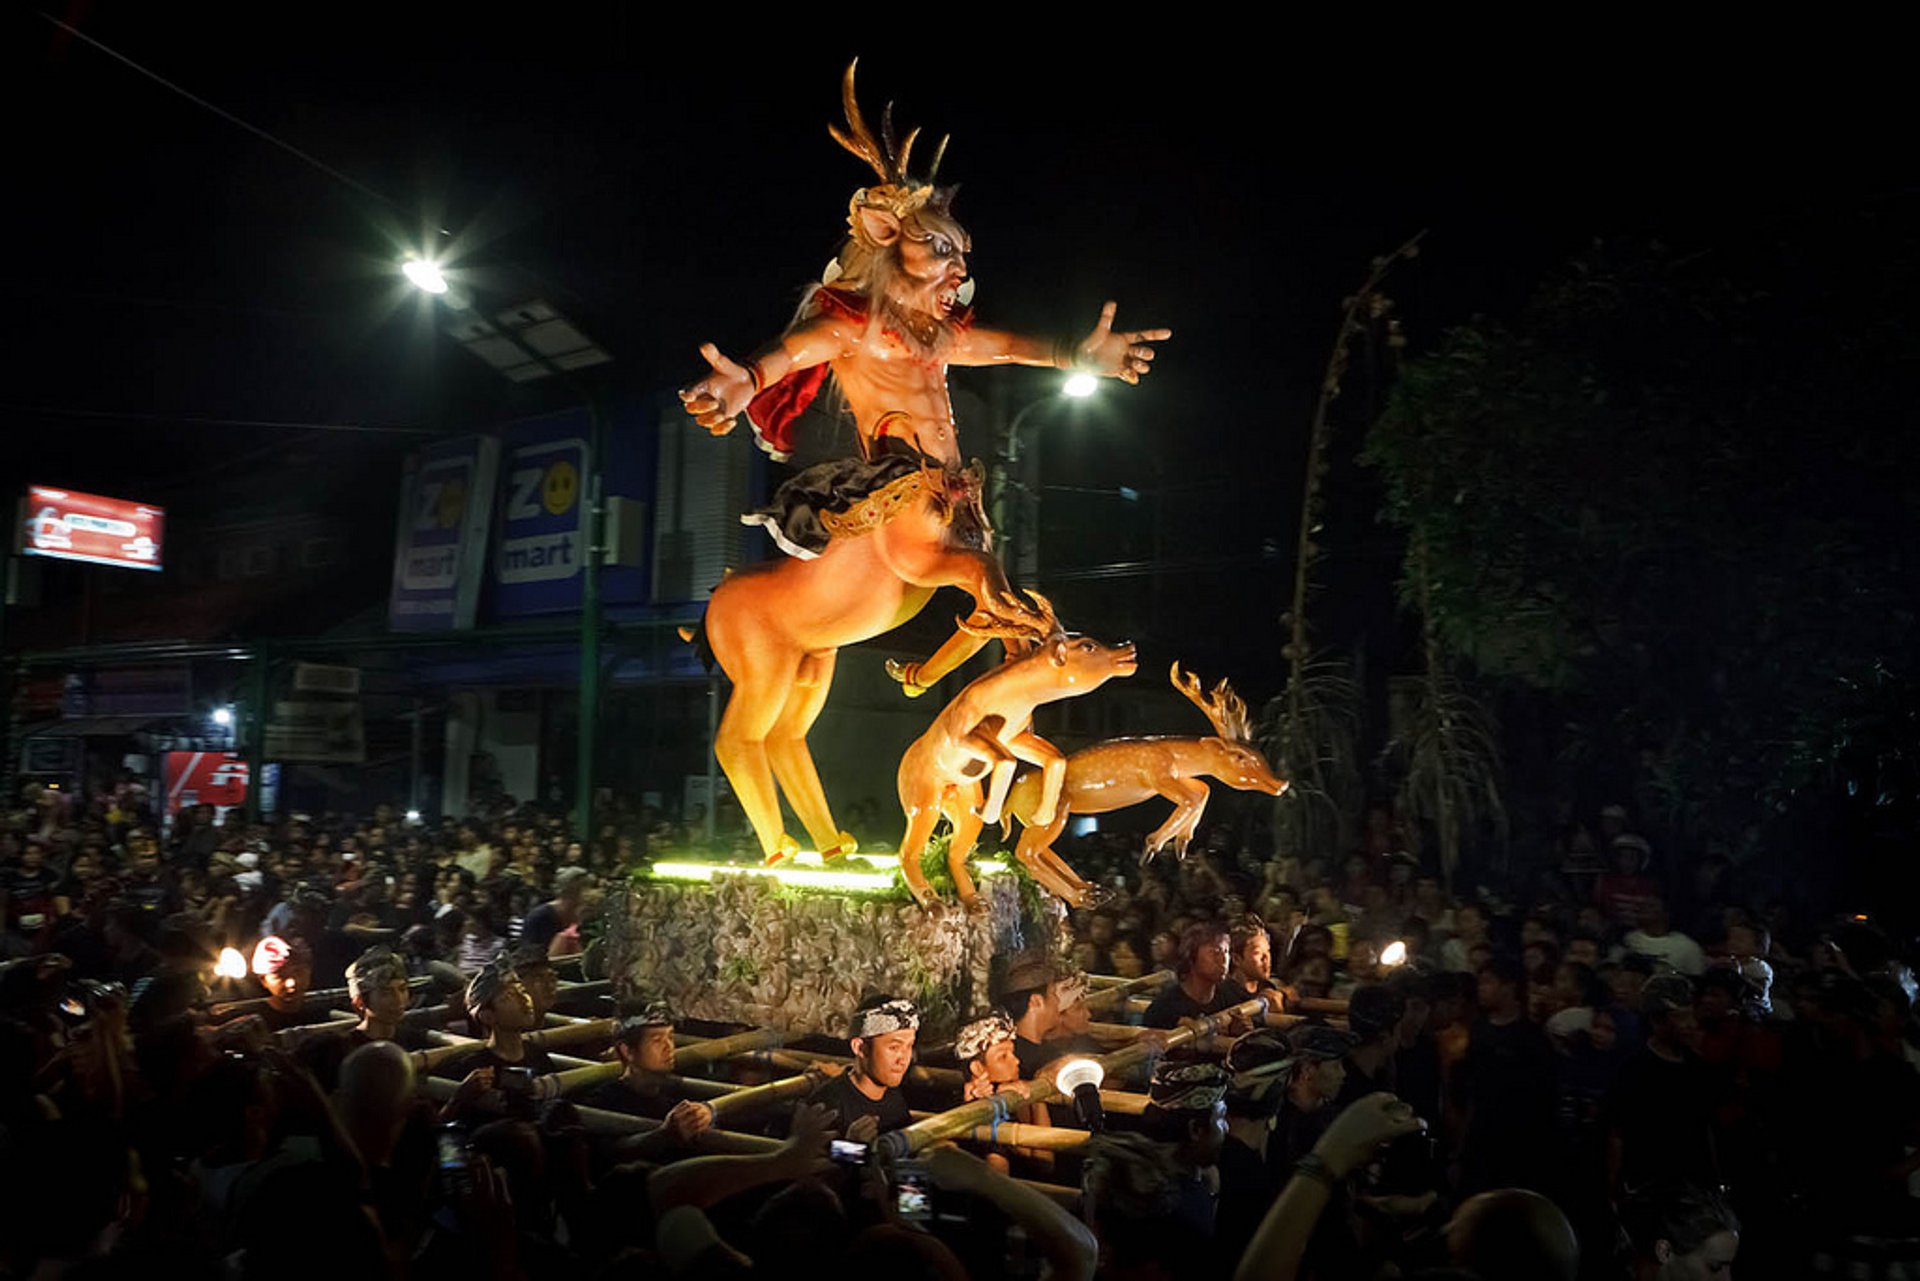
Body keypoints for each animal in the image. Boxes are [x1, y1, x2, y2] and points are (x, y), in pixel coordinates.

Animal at [990, 668, 1290, 906]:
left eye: (1259, 753)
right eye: (1239, 757)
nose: (1281, 784)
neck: (1172, 753)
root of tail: (1010, 802)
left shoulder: (1174, 777)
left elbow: (1202, 789)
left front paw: (1182, 842)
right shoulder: (1158, 776)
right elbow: (1192, 796)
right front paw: (1153, 847)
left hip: (1042, 818)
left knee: (1040, 851)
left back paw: (1091, 888)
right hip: (1053, 814)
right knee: (1026, 852)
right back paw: (1082, 898)